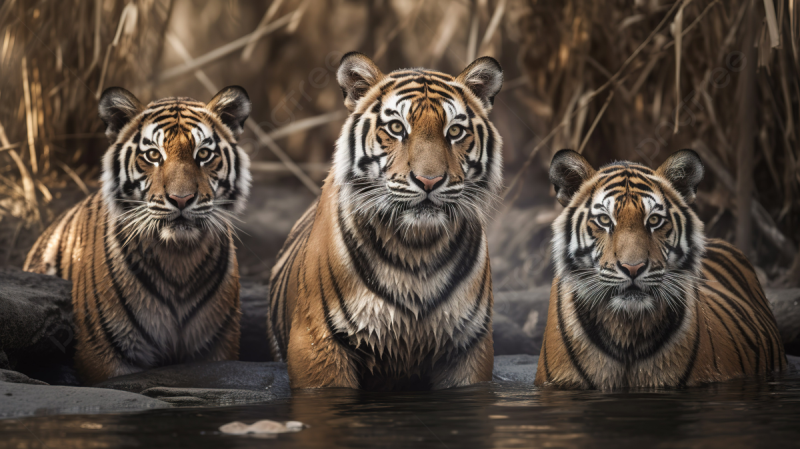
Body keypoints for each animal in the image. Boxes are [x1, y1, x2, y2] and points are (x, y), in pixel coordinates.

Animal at [24, 86, 252, 384]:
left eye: (204, 154)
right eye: (153, 155)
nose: (181, 199)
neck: (179, 257)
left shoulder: (218, 347)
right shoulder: (105, 353)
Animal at [267, 52, 503, 390]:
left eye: (455, 132)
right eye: (395, 127)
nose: (429, 181)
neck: (418, 247)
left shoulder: (467, 346)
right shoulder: (318, 343)